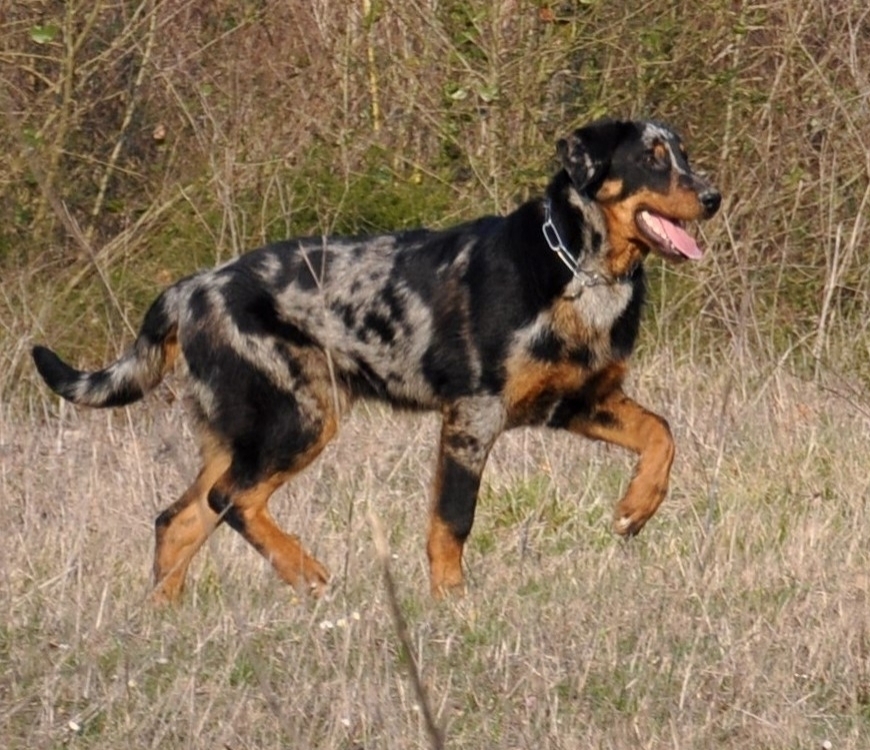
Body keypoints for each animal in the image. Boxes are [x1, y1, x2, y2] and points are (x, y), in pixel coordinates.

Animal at [32, 117, 724, 604]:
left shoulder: (580, 401)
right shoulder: (473, 415)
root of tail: (189, 289)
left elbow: (661, 435)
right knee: (232, 500)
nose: (714, 196)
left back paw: (163, 620)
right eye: (652, 159)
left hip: (246, 431)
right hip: (298, 418)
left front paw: (638, 508)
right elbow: (452, 522)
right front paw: (453, 604)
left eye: (683, 155)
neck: (582, 272)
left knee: (181, 518)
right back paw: (306, 572)